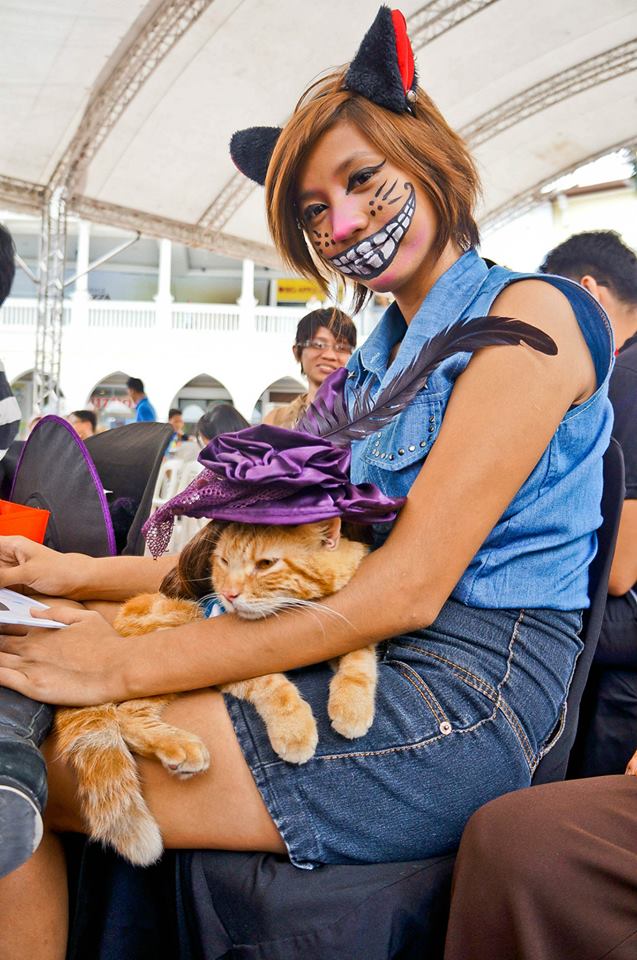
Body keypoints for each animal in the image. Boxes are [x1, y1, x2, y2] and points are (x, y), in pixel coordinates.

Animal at [53, 517, 376, 865]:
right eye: (222, 561)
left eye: (266, 564)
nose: (228, 594)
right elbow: (272, 683)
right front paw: (294, 729)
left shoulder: (342, 625)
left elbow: (360, 657)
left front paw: (352, 707)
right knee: (126, 712)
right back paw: (180, 746)